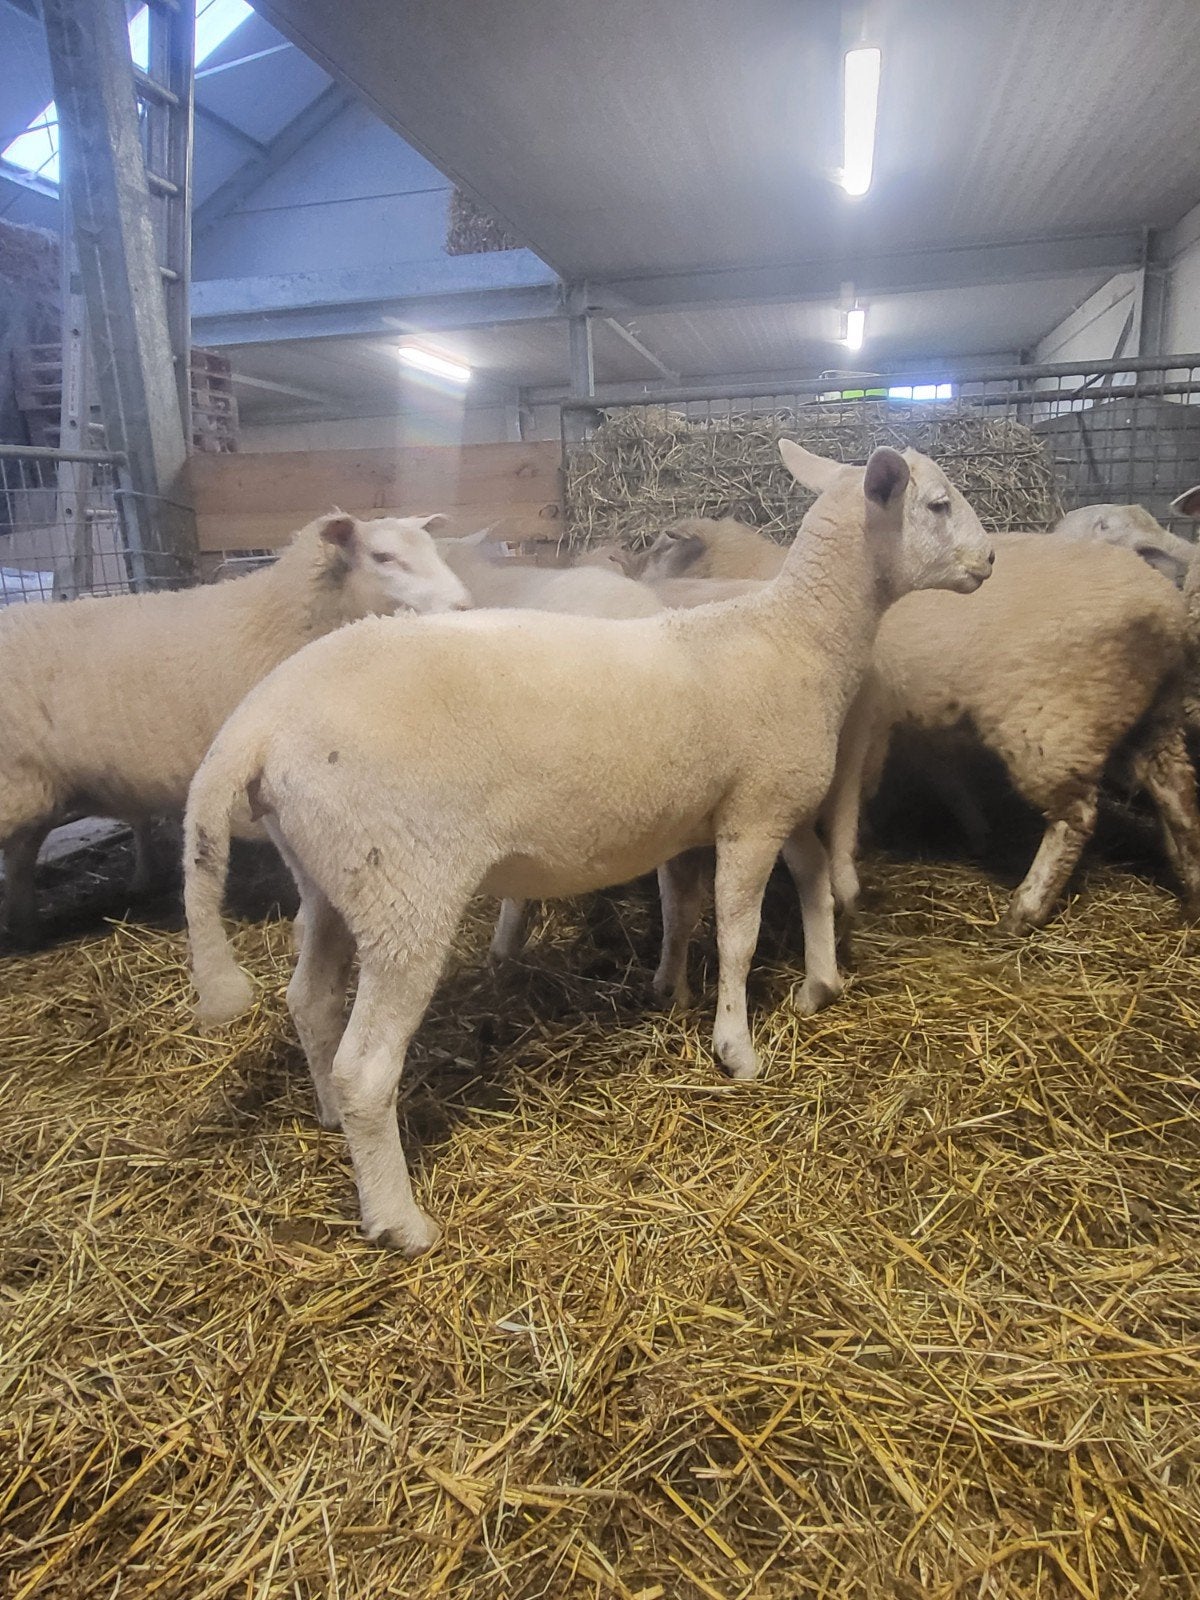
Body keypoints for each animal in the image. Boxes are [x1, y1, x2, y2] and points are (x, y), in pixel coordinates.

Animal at [181, 441, 992, 1254]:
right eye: (939, 503)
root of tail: (259, 721)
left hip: (331, 871)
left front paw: (794, 984)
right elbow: (738, 934)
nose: (988, 561)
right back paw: (400, 1220)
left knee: (310, 999)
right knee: (367, 1066)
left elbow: (739, 894)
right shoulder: (755, 812)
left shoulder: (749, 806)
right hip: (403, 884)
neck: (797, 634)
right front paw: (736, 1047)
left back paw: (325, 1115)